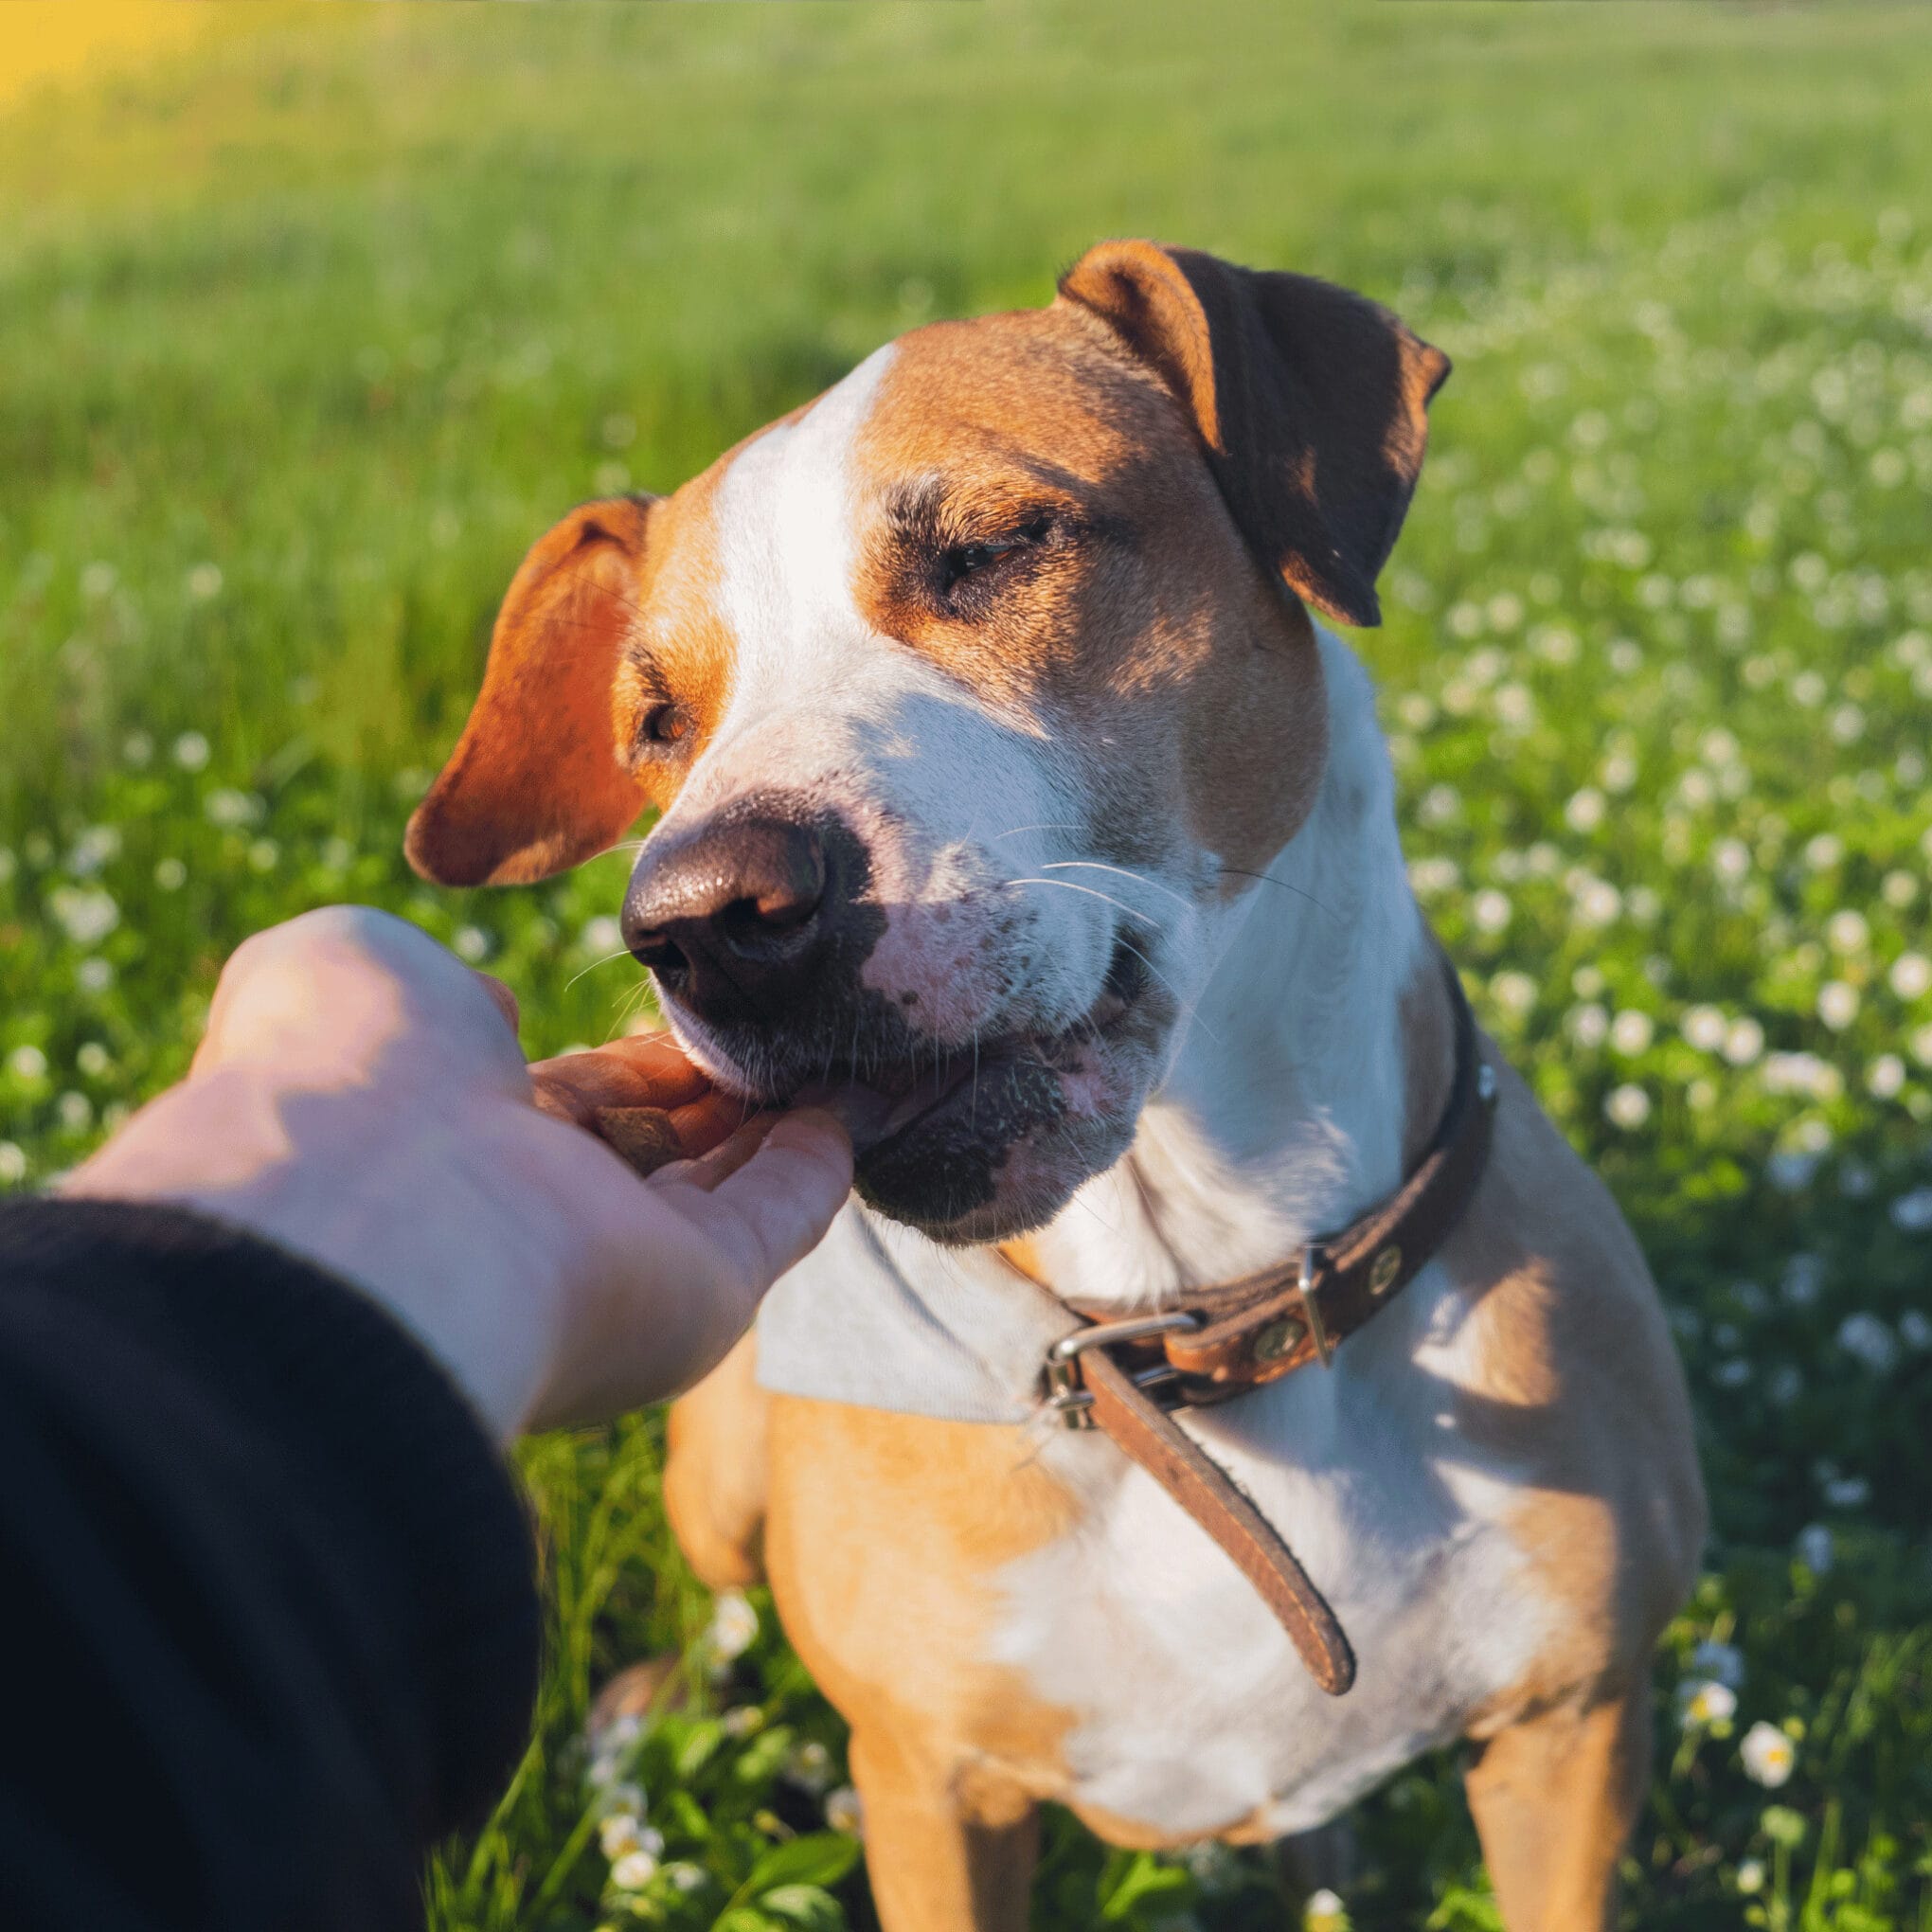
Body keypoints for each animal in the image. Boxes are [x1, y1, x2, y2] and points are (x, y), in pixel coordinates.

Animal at [407, 245, 1708, 1932]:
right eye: (656, 723)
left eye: (991, 550)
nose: (703, 918)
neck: (1184, 1316)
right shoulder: (930, 1792)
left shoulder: (1573, 1737)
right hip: (720, 1468)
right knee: (709, 1613)